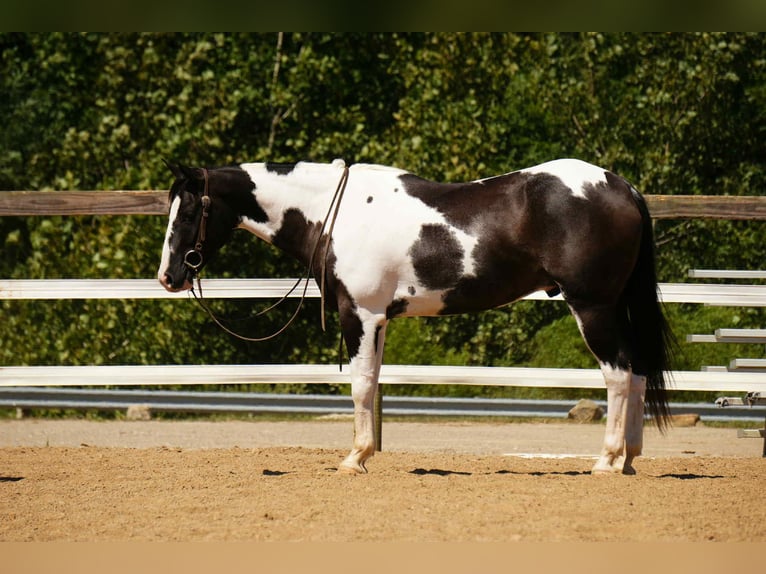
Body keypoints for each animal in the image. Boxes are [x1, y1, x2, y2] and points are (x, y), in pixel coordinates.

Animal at [157, 157, 674, 475]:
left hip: (593, 306)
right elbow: (373, 383)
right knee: (637, 372)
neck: (335, 214)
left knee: (619, 373)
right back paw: (628, 461)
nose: (169, 276)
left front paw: (354, 459)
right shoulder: (380, 319)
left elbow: (361, 385)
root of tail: (621, 186)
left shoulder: (360, 314)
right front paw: (363, 454)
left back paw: (606, 461)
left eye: (189, 212)